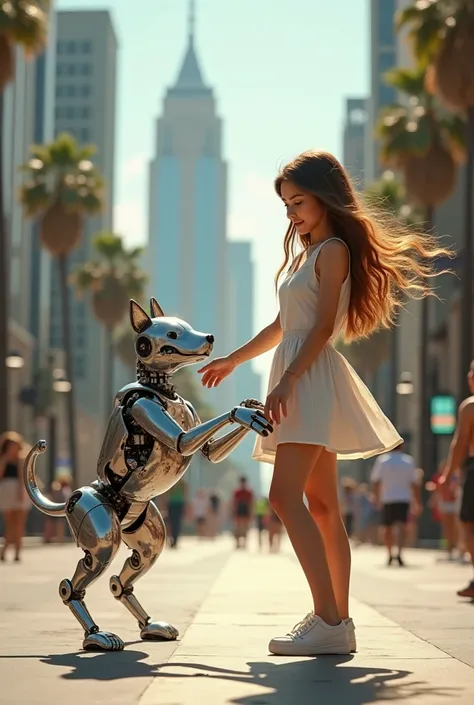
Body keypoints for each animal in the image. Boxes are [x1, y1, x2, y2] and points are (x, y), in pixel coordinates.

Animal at [24, 296, 272, 648]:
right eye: (172, 333)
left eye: (187, 327)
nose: (209, 338)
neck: (162, 390)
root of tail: (73, 494)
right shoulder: (145, 408)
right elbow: (183, 442)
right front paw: (244, 413)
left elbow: (210, 453)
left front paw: (252, 408)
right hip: (98, 524)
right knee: (82, 574)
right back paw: (95, 634)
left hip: (144, 527)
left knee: (127, 573)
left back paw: (149, 624)